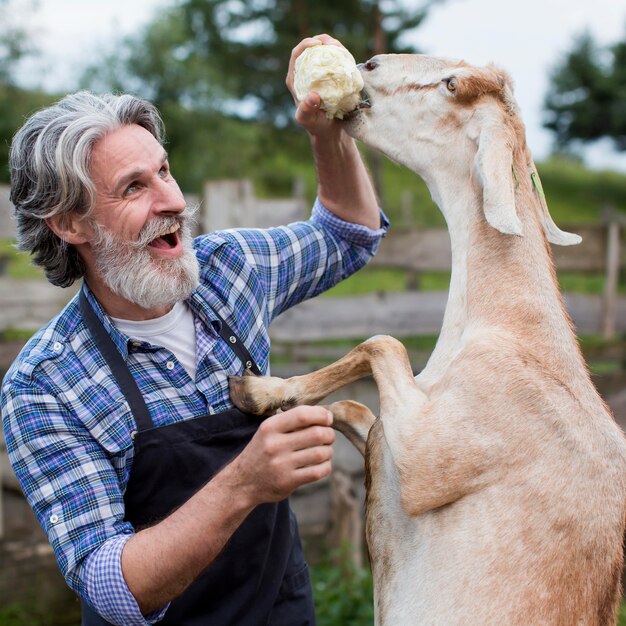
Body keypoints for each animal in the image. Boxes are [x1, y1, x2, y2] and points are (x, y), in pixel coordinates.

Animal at [230, 54, 626, 624]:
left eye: (451, 84)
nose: (370, 63)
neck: (511, 328)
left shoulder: (432, 456)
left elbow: (383, 342)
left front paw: (260, 391)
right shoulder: (398, 428)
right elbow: (354, 406)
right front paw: (275, 400)